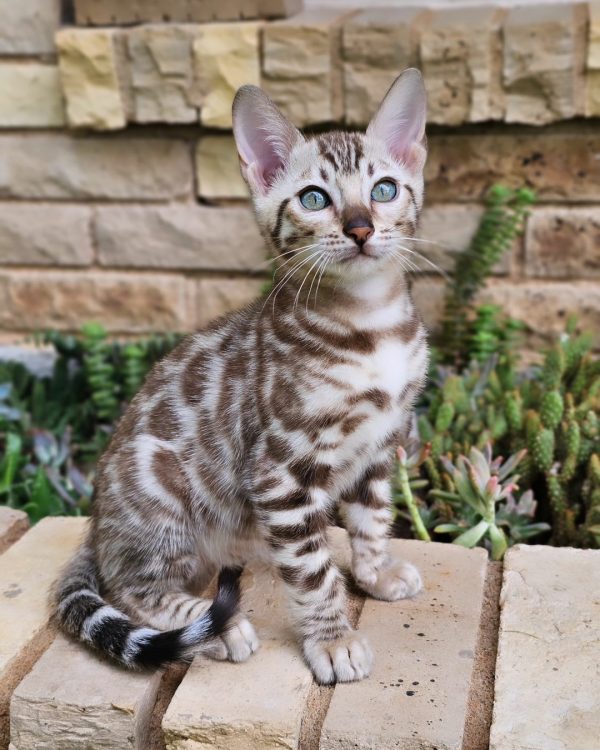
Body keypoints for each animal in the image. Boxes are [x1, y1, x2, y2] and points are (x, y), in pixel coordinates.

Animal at [51, 67, 426, 684]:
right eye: (314, 198)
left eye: (385, 190)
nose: (360, 228)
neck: (371, 327)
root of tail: (97, 524)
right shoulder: (280, 473)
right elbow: (313, 569)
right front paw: (332, 640)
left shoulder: (378, 446)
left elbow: (372, 519)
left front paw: (376, 573)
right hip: (159, 490)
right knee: (130, 587)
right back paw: (216, 629)